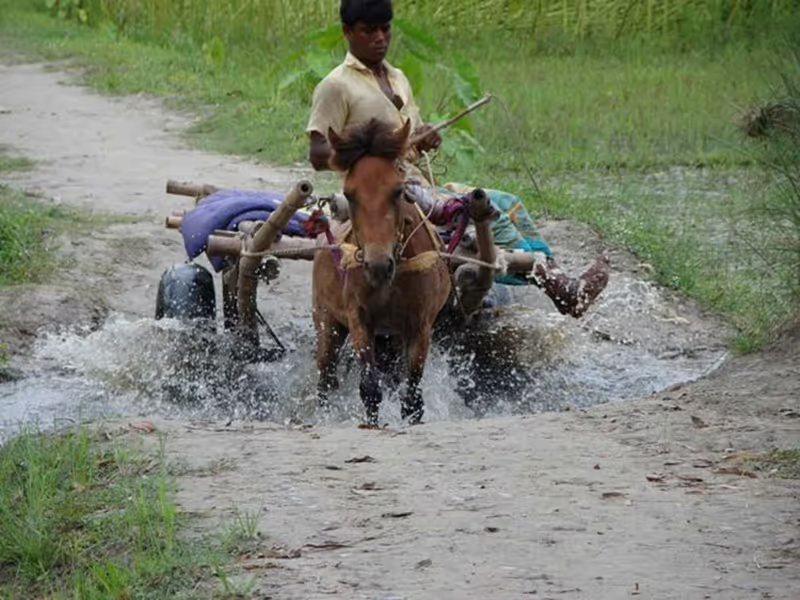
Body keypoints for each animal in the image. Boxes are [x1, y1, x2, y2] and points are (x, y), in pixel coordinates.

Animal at [311, 118, 452, 425]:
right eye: (349, 194)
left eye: (397, 191)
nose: (377, 265)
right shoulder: (358, 319)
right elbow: (370, 389)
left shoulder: (419, 324)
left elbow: (412, 397)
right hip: (327, 320)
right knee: (325, 378)